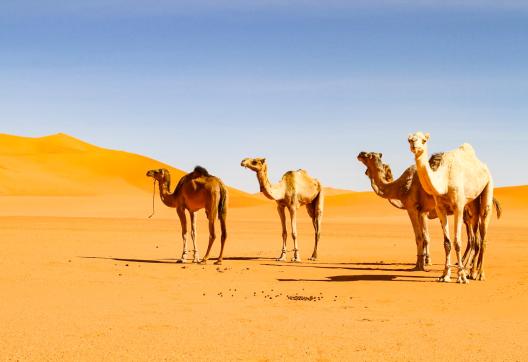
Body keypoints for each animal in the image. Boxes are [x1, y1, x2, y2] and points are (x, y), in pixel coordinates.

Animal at [356, 151, 502, 272]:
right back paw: (470, 268)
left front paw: (420, 265)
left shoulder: (413, 208)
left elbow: (420, 237)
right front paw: (424, 262)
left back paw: (467, 267)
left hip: (467, 213)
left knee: (473, 239)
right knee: (477, 238)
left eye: (369, 155)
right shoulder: (422, 211)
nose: (360, 153)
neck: (400, 187)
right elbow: (425, 236)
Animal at [408, 133, 496, 282]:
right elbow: (447, 243)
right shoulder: (440, 208)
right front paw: (445, 275)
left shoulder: (458, 207)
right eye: (409, 139)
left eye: (424, 140)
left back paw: (480, 274)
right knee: (476, 237)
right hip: (472, 203)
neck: (444, 179)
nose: (415, 146)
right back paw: (472, 272)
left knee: (483, 233)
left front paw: (461, 276)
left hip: (488, 185)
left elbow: (457, 241)